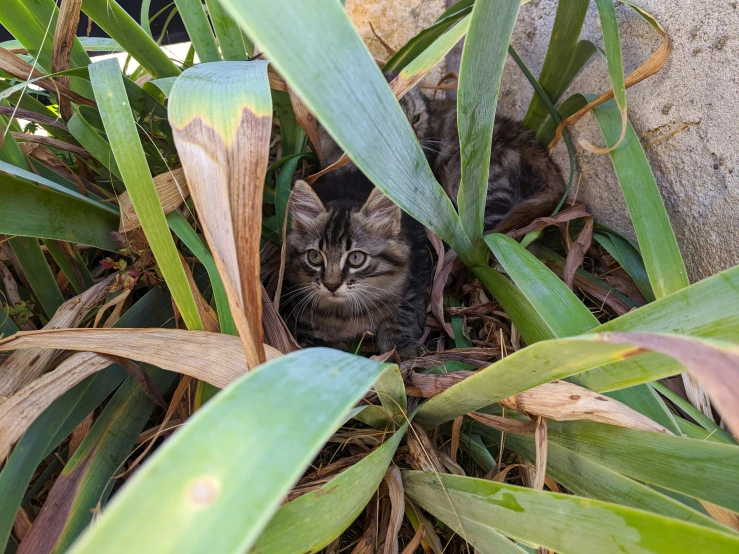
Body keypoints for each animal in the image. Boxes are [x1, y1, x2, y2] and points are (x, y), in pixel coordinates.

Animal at [284, 168, 434, 354]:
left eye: (356, 258)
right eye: (315, 257)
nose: (331, 286)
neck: (345, 314)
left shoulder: (411, 291)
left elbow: (399, 326)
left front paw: (404, 355)